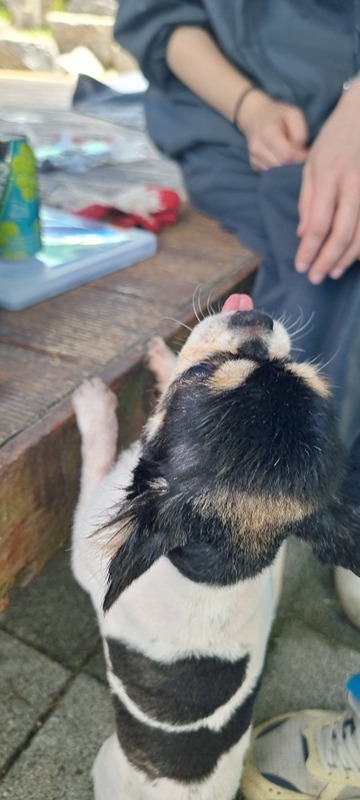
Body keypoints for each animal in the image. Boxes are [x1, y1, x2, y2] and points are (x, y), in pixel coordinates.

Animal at [71, 298, 360, 800]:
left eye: (201, 371)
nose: (255, 318)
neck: (210, 570)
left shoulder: (89, 533)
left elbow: (97, 454)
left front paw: (94, 406)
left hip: (106, 759)